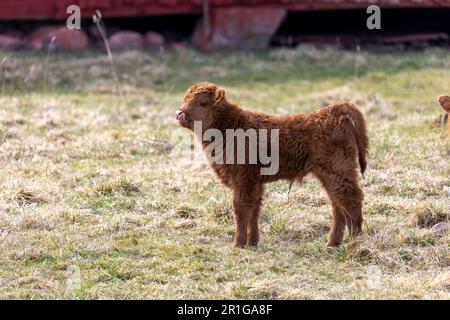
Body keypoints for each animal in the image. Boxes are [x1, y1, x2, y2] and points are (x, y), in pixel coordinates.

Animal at [177, 82, 370, 248]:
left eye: (203, 103)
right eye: (185, 99)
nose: (180, 113)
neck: (230, 126)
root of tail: (335, 111)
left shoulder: (243, 180)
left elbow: (241, 209)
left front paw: (238, 244)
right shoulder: (255, 182)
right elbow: (254, 210)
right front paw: (252, 242)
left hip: (338, 172)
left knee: (351, 201)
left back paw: (355, 242)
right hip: (329, 176)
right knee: (338, 205)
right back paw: (333, 243)